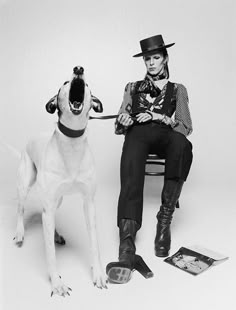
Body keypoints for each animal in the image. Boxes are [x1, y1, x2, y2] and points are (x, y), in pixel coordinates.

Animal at [13, 66, 107, 296]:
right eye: (64, 82)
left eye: (87, 84)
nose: (78, 69)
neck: (72, 142)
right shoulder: (47, 203)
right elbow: (50, 253)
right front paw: (57, 283)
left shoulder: (89, 203)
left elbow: (94, 244)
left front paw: (99, 275)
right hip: (25, 184)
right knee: (21, 208)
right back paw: (20, 232)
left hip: (58, 200)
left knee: (49, 216)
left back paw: (56, 234)